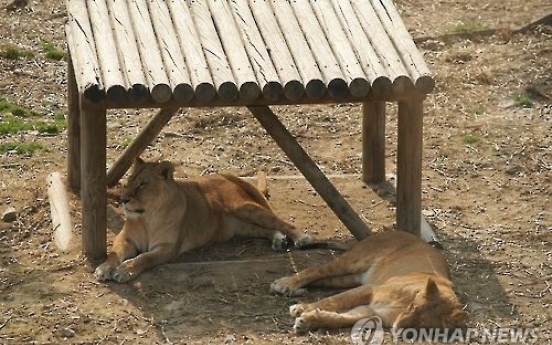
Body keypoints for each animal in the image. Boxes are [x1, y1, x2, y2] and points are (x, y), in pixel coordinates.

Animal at [95, 158, 310, 282]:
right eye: (129, 181)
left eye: (142, 185)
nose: (123, 199)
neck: (148, 218)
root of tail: (227, 177)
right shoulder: (125, 238)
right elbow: (114, 253)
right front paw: (105, 268)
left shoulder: (167, 249)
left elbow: (144, 258)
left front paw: (126, 270)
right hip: (240, 226)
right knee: (264, 229)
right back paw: (278, 240)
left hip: (245, 208)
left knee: (282, 222)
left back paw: (302, 238)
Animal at [270, 230, 468, 332]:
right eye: (414, 307)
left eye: (422, 324)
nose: (396, 328)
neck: (404, 305)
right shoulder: (370, 289)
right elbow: (333, 301)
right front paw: (302, 309)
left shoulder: (373, 311)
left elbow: (341, 319)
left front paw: (309, 321)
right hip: (353, 261)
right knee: (314, 271)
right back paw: (286, 284)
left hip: (345, 279)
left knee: (321, 279)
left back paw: (291, 288)